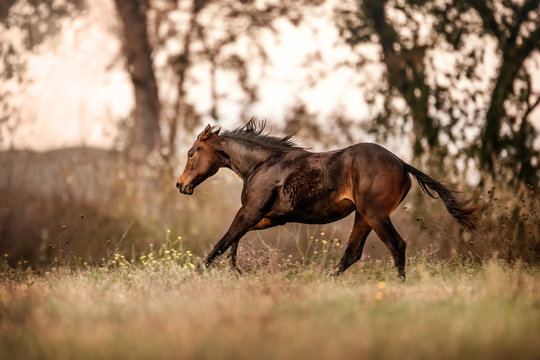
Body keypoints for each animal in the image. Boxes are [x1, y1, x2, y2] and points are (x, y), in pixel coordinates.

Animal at [175, 120, 474, 278]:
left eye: (191, 153)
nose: (180, 184)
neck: (262, 164)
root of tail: (401, 163)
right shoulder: (269, 217)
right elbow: (234, 239)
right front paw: (235, 269)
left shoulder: (250, 211)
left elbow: (223, 240)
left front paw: (196, 272)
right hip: (363, 216)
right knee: (352, 253)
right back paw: (327, 279)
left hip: (375, 214)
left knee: (396, 244)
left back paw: (399, 282)